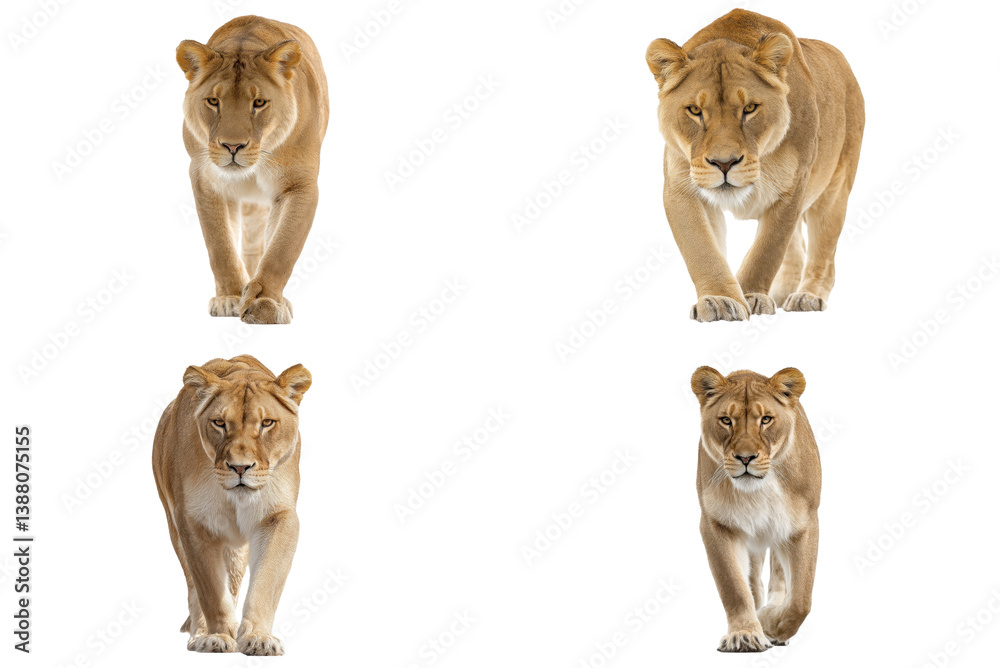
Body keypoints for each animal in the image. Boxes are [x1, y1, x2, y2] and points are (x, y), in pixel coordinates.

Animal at [152, 355, 312, 655]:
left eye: (267, 423)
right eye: (219, 423)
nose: (240, 467)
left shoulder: (279, 516)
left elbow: (266, 581)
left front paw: (259, 638)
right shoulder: (192, 521)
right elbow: (210, 589)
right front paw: (216, 636)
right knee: (194, 586)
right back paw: (200, 634)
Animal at [176, 16, 329, 324]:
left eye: (258, 103)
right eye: (213, 101)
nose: (232, 146)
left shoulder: (300, 184)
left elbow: (283, 249)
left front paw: (265, 303)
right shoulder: (205, 179)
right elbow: (220, 246)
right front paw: (230, 298)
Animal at [646, 10, 864, 321]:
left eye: (749, 109)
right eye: (695, 111)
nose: (724, 163)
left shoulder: (792, 189)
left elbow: (767, 250)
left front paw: (751, 296)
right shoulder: (681, 187)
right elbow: (701, 249)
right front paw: (721, 300)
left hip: (834, 189)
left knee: (823, 251)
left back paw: (807, 297)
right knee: (796, 247)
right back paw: (783, 292)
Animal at [691, 366, 821, 652]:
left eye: (766, 420)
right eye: (726, 420)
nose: (745, 458)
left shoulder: (804, 524)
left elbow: (802, 599)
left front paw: (772, 624)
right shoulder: (717, 524)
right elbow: (734, 587)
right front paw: (745, 634)